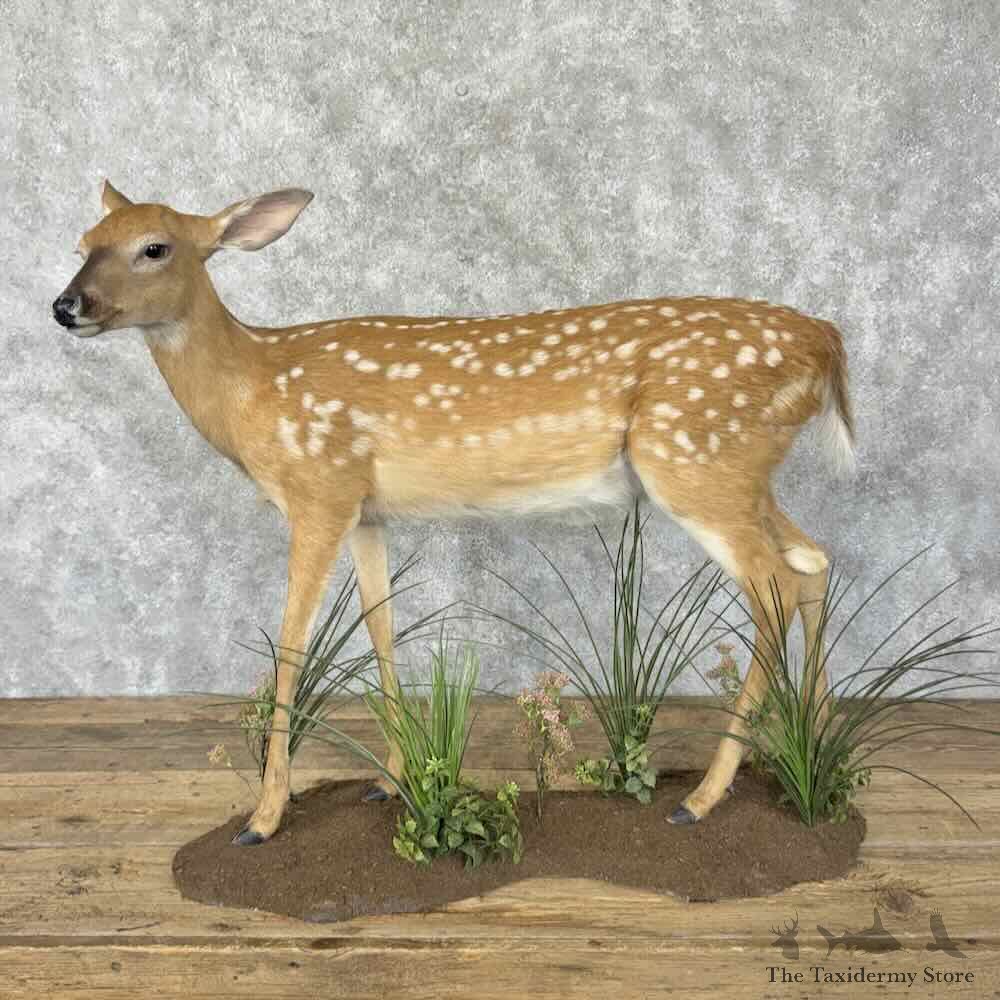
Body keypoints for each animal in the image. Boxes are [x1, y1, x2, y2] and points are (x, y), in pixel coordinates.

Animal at [52, 182, 855, 845]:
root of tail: (826, 341)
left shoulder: (318, 489)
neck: (256, 387)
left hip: (697, 459)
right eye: (84, 241)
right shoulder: (364, 510)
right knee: (813, 560)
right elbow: (380, 625)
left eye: (155, 247)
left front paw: (264, 816)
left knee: (774, 586)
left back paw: (703, 798)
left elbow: (290, 648)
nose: (66, 307)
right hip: (743, 472)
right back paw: (816, 764)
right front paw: (390, 779)